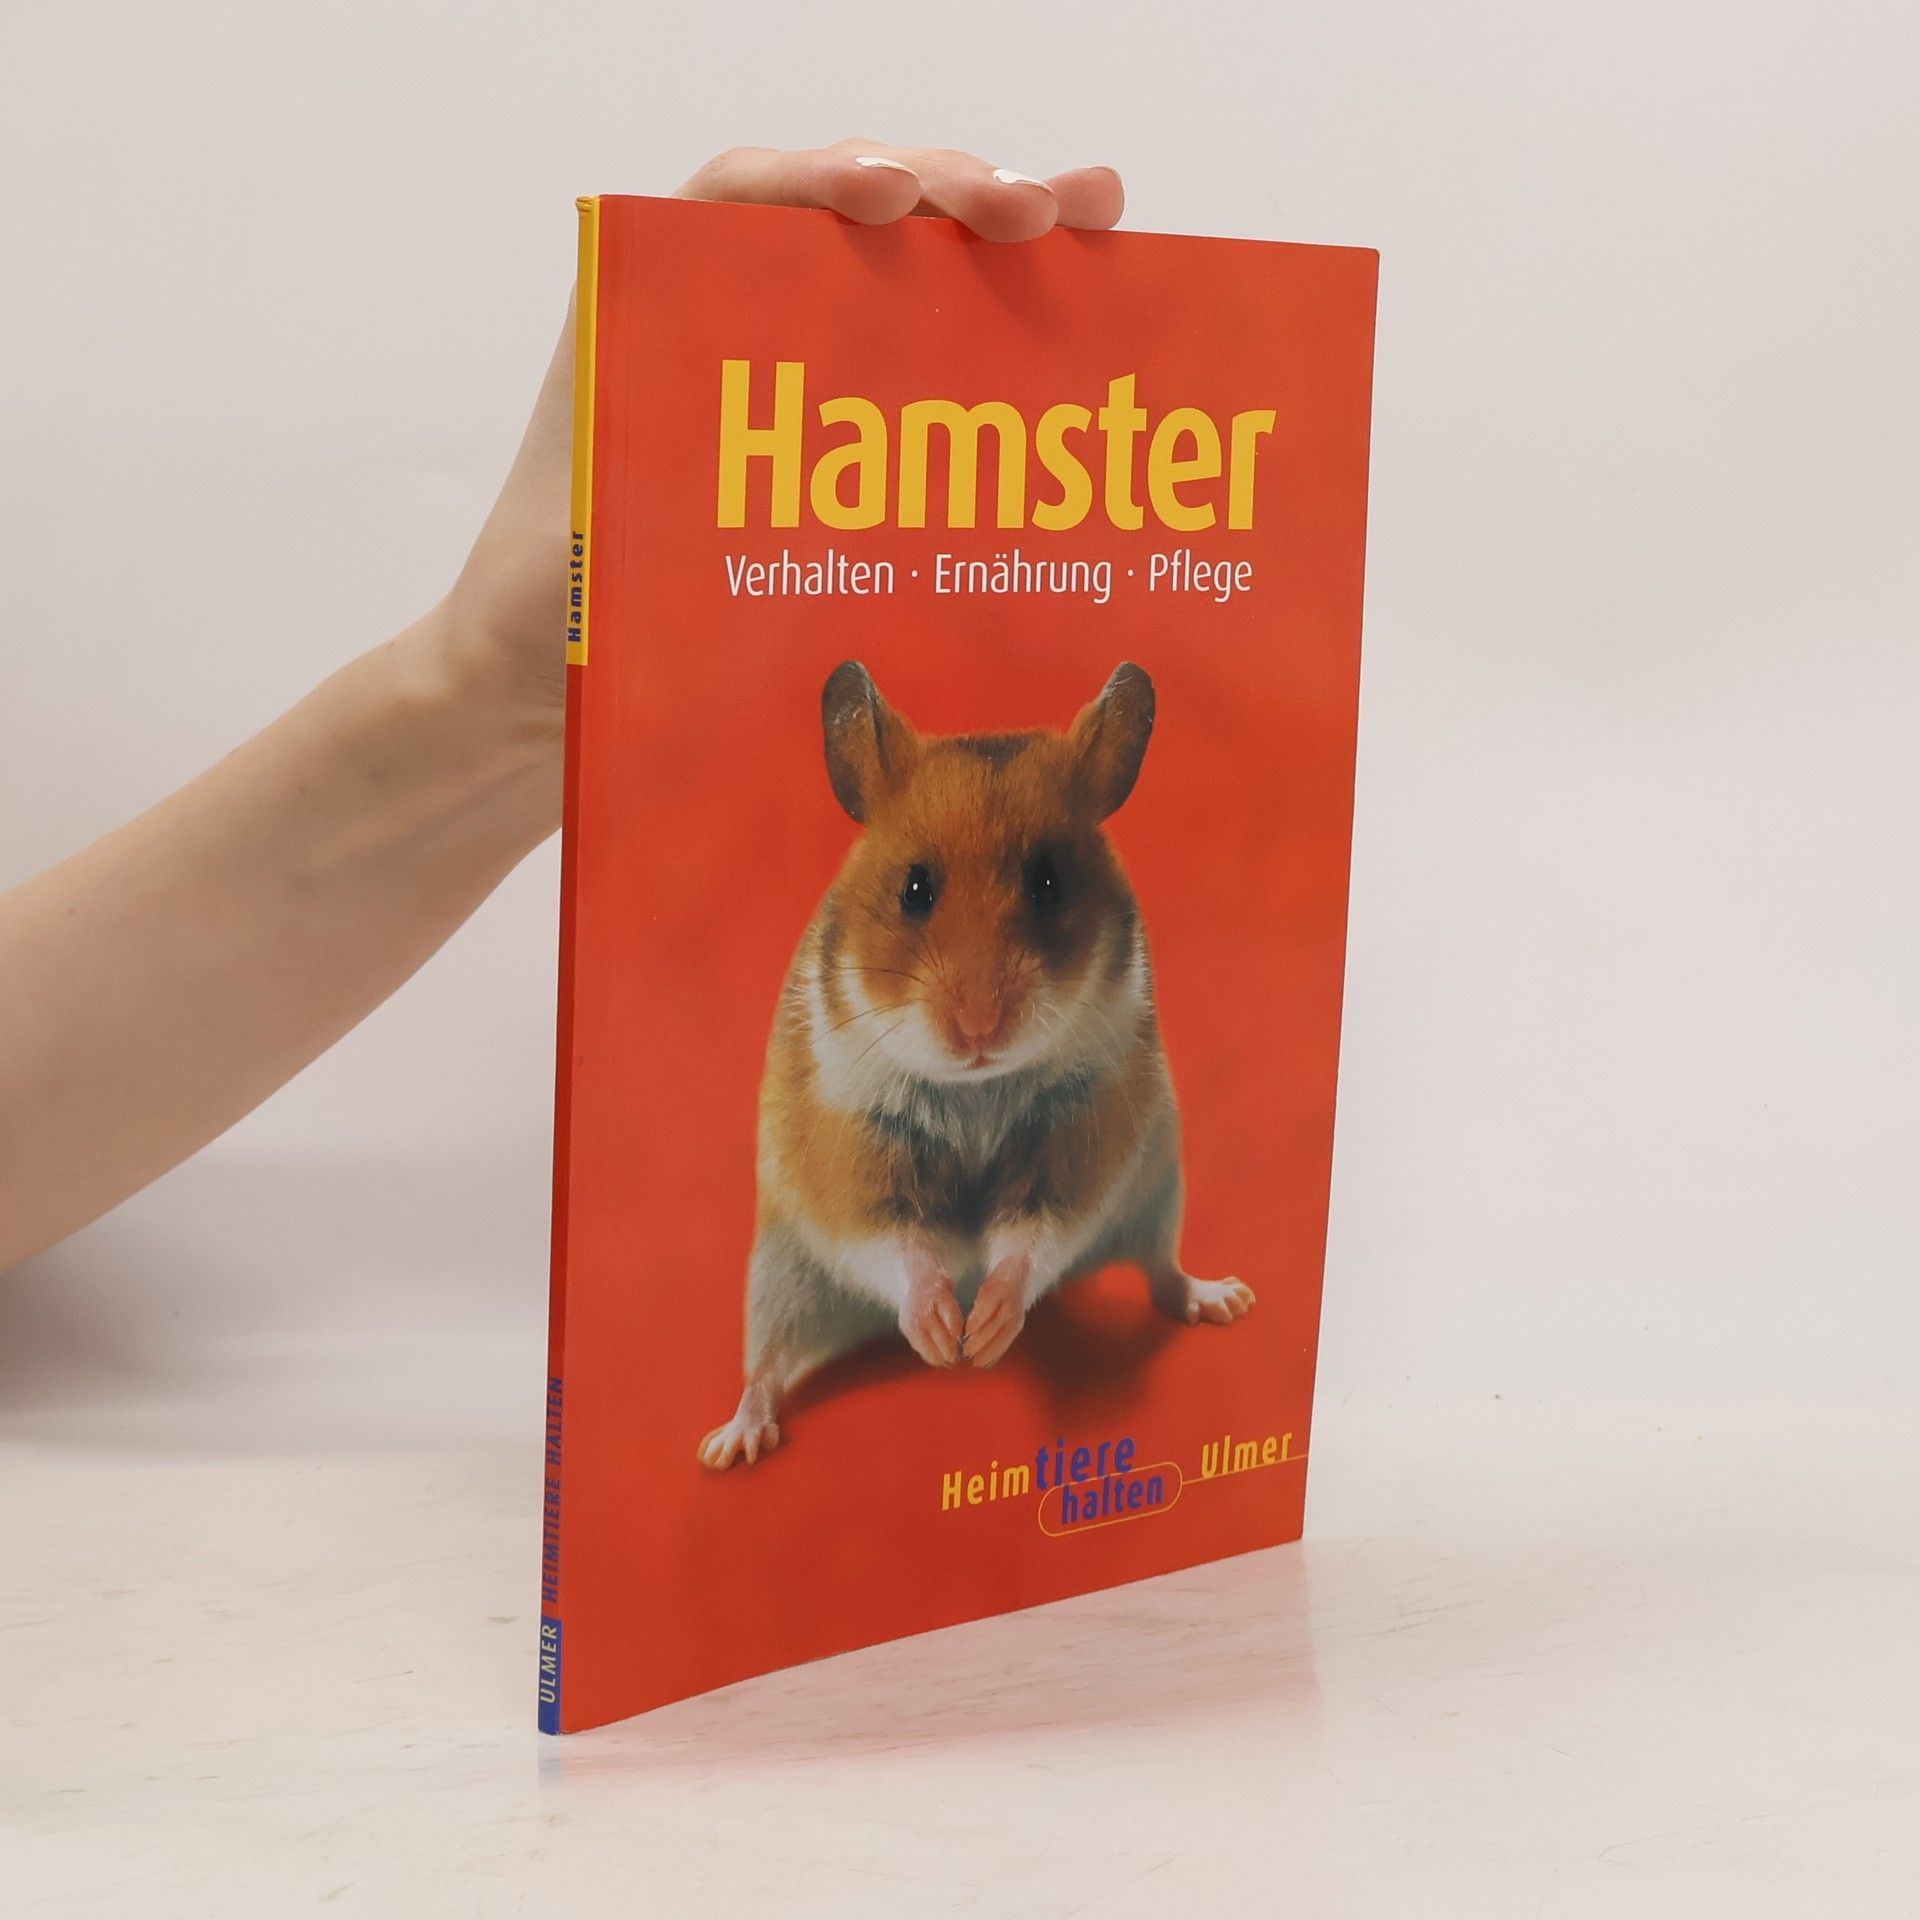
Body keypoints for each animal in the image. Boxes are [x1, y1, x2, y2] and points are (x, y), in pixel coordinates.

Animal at [698, 660, 1254, 1471]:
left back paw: (1225, 1299)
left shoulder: (1084, 1131)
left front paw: (983, 1335)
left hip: (1156, 1196)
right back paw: (728, 1446)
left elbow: (1035, 1233)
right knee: (768, 1362)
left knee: (1161, 1275)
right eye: (915, 889)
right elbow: (895, 1240)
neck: (977, 1087)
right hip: (781, 1274)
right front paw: (941, 1338)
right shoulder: (850, 1147)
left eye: (1048, 882)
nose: (979, 1026)